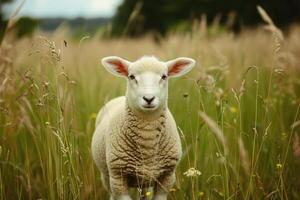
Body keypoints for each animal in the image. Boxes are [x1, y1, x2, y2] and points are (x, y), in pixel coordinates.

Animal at [91, 55, 195, 200]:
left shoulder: (167, 178)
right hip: (107, 177)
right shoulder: (118, 178)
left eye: (164, 76)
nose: (149, 98)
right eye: (132, 76)